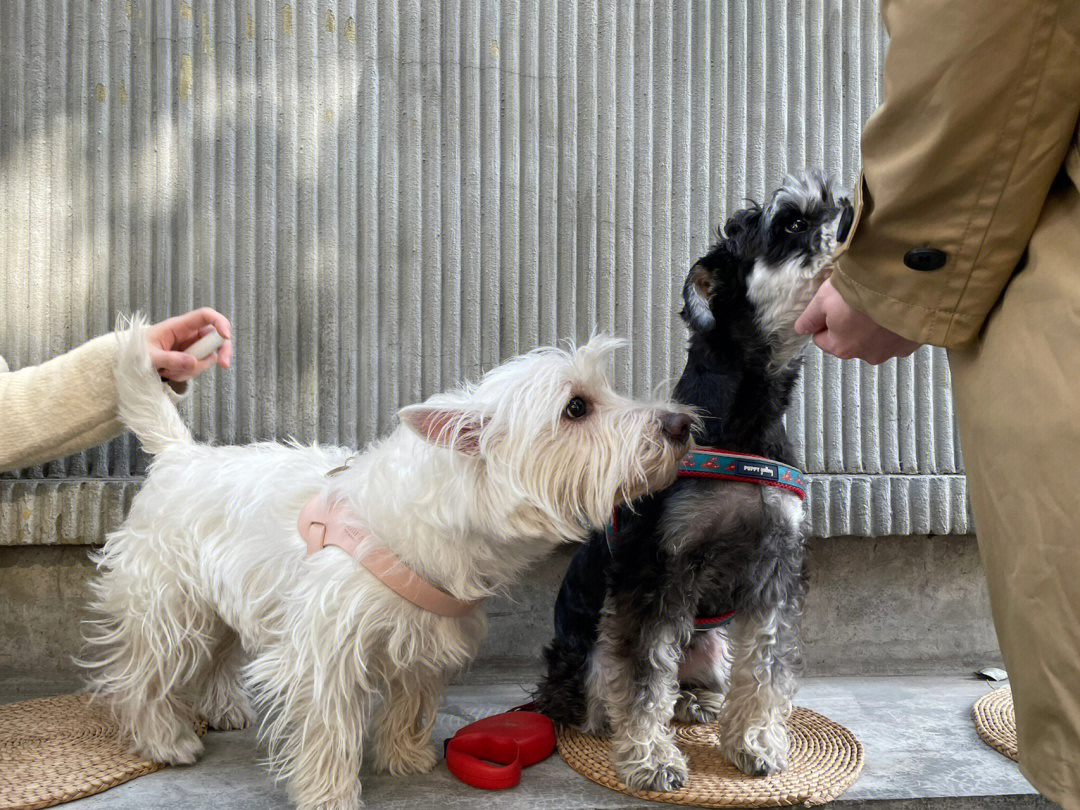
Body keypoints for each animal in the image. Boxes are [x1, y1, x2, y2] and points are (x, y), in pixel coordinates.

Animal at [84, 319, 691, 810]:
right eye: (576, 408)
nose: (681, 425)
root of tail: (179, 455)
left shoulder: (425, 635)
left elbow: (410, 698)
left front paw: (404, 757)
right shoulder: (323, 648)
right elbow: (329, 727)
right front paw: (330, 795)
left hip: (222, 597)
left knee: (217, 650)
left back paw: (222, 707)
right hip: (167, 604)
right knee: (142, 675)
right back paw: (165, 739)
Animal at [533, 172, 851, 794]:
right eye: (792, 223)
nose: (856, 215)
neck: (749, 418)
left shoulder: (774, 570)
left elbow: (764, 667)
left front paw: (755, 742)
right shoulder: (657, 571)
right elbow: (642, 677)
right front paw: (651, 758)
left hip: (710, 643)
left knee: (689, 679)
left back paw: (697, 702)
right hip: (586, 651)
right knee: (600, 689)